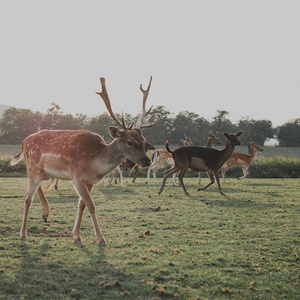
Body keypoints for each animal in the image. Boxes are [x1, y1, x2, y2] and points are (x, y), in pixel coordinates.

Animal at [9, 75, 155, 244]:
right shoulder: (76, 176)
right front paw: (100, 238)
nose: (147, 161)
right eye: (129, 142)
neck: (95, 164)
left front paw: (77, 235)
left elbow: (82, 204)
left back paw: (45, 213)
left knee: (36, 189)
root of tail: (23, 142)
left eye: (144, 140)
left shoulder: (89, 181)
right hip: (32, 167)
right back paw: (23, 233)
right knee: (27, 198)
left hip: (43, 172)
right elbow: (91, 205)